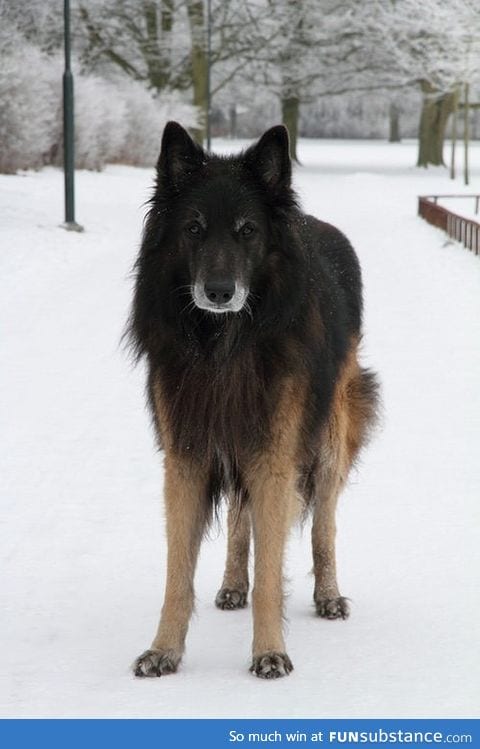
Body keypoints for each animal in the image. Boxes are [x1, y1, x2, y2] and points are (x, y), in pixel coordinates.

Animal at [127, 121, 378, 676]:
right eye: (194, 228)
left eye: (247, 230)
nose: (219, 292)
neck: (224, 345)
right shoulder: (188, 458)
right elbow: (178, 574)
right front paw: (164, 649)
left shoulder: (274, 457)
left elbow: (273, 567)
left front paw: (269, 652)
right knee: (241, 520)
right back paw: (231, 584)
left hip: (328, 438)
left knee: (323, 522)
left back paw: (328, 594)